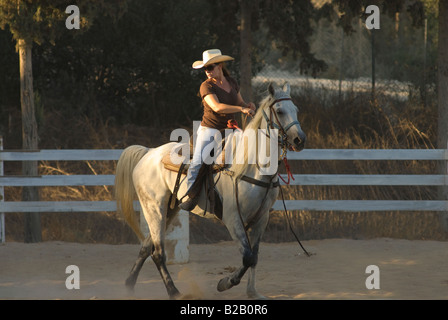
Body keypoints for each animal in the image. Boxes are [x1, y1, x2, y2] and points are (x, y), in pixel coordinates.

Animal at [114, 83, 306, 300]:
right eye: (280, 111)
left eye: (296, 110)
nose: (300, 140)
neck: (252, 167)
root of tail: (149, 153)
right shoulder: (233, 219)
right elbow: (247, 257)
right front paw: (225, 283)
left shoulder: (261, 219)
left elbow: (254, 257)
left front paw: (252, 292)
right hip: (154, 209)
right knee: (158, 253)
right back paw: (174, 291)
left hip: (170, 209)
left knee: (146, 248)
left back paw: (129, 285)